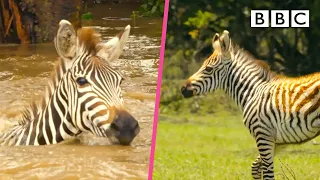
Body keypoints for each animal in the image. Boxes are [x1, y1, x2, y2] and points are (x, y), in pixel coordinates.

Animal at [181, 30, 320, 179]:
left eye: (208, 69)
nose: (183, 89)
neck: (253, 92)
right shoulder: (279, 141)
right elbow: (255, 167)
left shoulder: (263, 135)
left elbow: (268, 173)